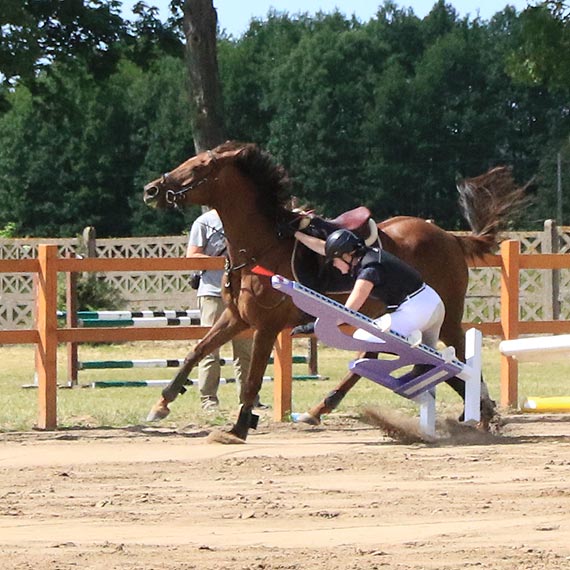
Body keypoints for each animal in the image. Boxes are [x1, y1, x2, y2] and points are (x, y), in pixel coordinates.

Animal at [143, 141, 524, 440]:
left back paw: (483, 413)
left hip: (445, 318)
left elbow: (251, 380)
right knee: (373, 360)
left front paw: (237, 429)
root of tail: (450, 237)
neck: (261, 247)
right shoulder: (237, 319)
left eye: (200, 166)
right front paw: (161, 403)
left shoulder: (265, 326)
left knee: (459, 358)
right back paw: (320, 409)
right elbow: (196, 352)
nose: (151, 189)